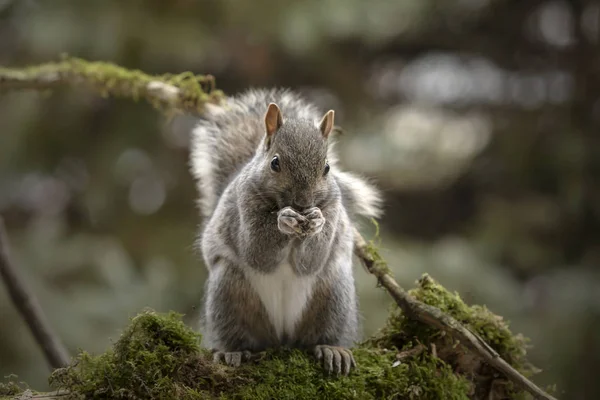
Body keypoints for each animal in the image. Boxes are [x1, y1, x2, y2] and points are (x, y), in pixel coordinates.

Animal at [190, 88, 382, 376]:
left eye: (327, 168)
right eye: (275, 163)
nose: (302, 204)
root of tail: (281, 337)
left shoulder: (333, 208)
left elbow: (311, 260)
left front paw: (316, 222)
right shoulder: (243, 207)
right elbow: (257, 252)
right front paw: (284, 221)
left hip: (334, 296)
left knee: (321, 334)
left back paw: (332, 349)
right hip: (228, 293)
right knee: (238, 333)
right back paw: (232, 351)